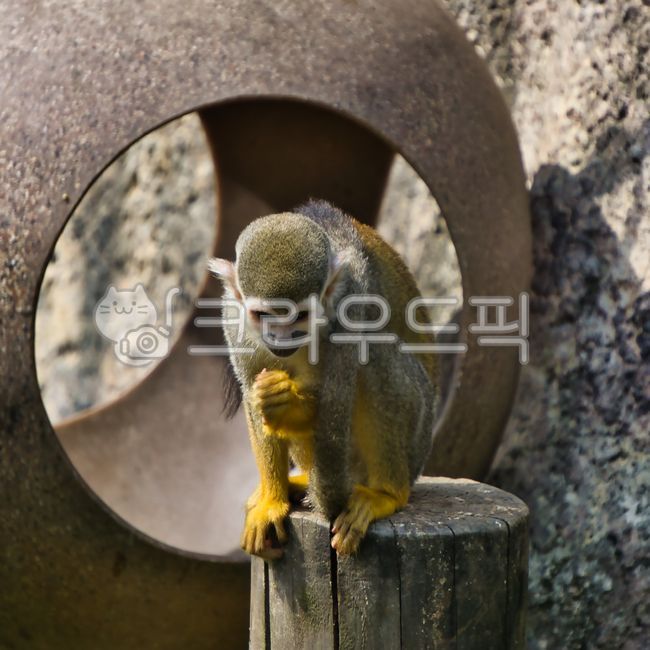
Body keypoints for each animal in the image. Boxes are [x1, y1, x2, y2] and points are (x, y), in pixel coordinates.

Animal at [208, 200, 438, 558]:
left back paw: (387, 493)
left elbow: (331, 395)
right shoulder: (232, 315)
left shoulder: (351, 301)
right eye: (263, 315)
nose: (280, 336)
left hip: (418, 432)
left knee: (375, 352)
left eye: (300, 315)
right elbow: (250, 391)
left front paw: (285, 401)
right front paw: (272, 500)